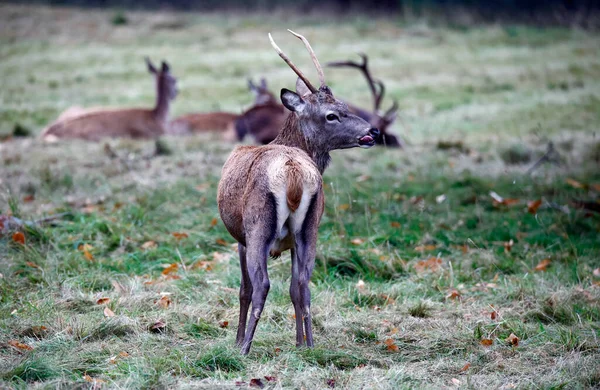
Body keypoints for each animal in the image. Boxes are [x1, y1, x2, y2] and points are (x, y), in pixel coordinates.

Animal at [217, 29, 380, 354]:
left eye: (344, 107)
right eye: (333, 113)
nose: (373, 131)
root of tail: (293, 172)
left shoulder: (240, 237)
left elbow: (244, 289)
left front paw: (237, 339)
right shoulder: (294, 238)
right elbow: (294, 288)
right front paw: (298, 343)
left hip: (258, 225)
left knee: (262, 284)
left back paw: (245, 350)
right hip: (311, 226)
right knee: (304, 283)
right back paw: (311, 346)